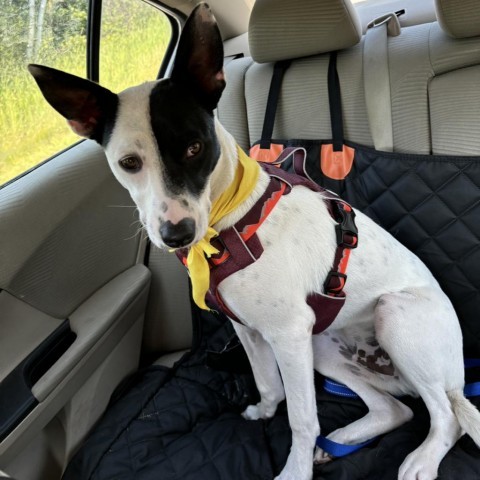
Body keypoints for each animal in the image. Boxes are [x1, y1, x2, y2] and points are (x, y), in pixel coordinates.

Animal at [30, 3, 480, 480]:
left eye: (194, 148)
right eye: (128, 163)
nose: (176, 235)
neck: (229, 224)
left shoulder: (288, 333)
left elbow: (302, 418)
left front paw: (295, 470)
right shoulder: (254, 329)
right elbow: (268, 384)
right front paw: (265, 412)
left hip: (391, 317)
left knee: (447, 416)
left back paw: (420, 459)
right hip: (323, 347)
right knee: (396, 409)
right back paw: (343, 439)